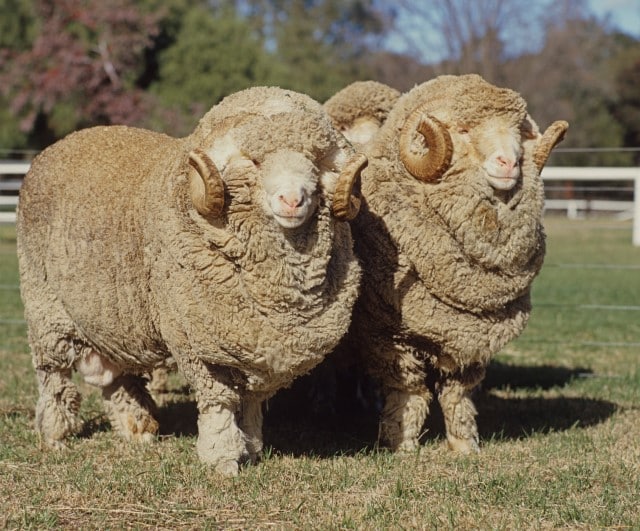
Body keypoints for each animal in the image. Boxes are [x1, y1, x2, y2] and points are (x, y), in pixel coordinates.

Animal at [17, 85, 364, 476]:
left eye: (315, 164)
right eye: (254, 163)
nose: (292, 200)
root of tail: (59, 145)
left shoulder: (255, 351)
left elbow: (250, 403)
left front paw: (252, 449)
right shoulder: (201, 346)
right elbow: (219, 403)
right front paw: (223, 458)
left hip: (112, 320)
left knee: (119, 378)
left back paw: (138, 430)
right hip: (46, 310)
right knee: (54, 376)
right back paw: (55, 435)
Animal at [324, 74, 564, 454]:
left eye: (518, 131)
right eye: (464, 130)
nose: (509, 164)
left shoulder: (469, 338)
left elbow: (457, 395)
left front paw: (464, 446)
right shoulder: (387, 338)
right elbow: (410, 393)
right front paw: (402, 444)